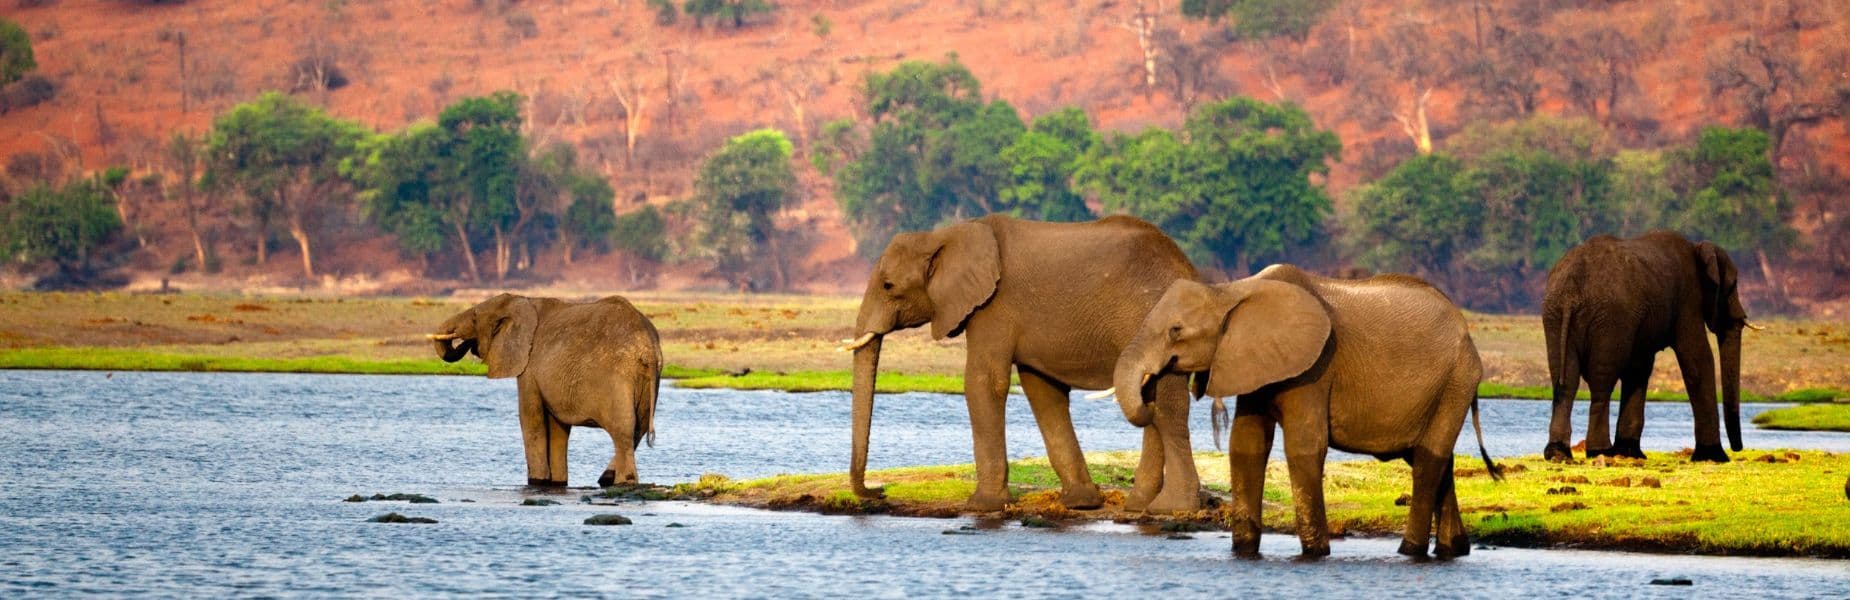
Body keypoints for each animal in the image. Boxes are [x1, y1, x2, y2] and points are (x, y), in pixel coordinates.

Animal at [427, 294, 666, 488]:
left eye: (475, 317)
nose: (466, 343)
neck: (521, 300)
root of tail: (648, 348)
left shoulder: (529, 366)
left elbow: (530, 419)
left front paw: (536, 482)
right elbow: (558, 428)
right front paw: (557, 483)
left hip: (617, 378)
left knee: (623, 430)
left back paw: (622, 482)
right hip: (647, 381)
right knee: (639, 428)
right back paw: (606, 479)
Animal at [839, 212, 1198, 514]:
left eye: (888, 285)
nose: (878, 492)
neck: (944, 236)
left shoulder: (993, 306)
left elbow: (984, 381)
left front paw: (981, 506)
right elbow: (1042, 391)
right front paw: (1080, 504)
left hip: (1159, 323)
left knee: (1168, 407)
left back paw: (1167, 507)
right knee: (1152, 400)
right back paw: (1140, 505)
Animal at [1102, 264, 1494, 559]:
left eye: (1176, 330)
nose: (1150, 389)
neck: (1231, 291)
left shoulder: (1315, 366)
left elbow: (1304, 446)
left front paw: (1316, 553)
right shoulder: (1252, 362)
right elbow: (1246, 445)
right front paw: (1244, 551)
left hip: (1458, 377)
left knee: (1428, 460)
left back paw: (1409, 550)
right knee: (1436, 461)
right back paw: (1454, 549)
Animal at [1539, 230, 1753, 464]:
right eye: (1733, 286)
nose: (1737, 448)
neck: (1697, 249)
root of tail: (1571, 287)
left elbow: (1638, 369)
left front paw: (1629, 452)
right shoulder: (1688, 299)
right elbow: (1697, 358)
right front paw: (1714, 456)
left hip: (1556, 313)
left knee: (1565, 382)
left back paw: (1557, 453)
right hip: (1609, 318)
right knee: (1601, 382)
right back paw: (1600, 451)